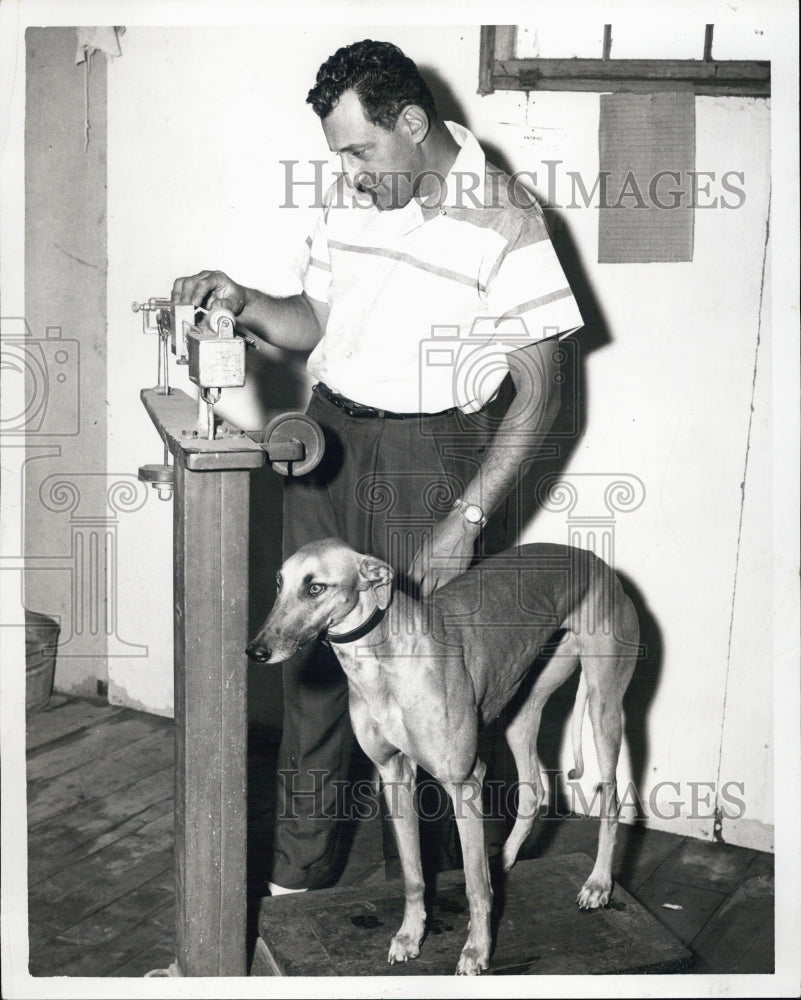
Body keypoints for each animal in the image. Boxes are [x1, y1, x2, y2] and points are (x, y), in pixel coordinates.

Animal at [247, 540, 640, 976]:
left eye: (315, 587)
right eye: (279, 584)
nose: (255, 651)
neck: (384, 659)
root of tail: (594, 560)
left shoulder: (465, 780)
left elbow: (474, 885)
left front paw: (477, 950)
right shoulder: (394, 774)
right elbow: (415, 875)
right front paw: (410, 936)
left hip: (604, 706)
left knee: (611, 796)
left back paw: (598, 884)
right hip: (523, 708)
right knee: (534, 791)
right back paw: (502, 861)